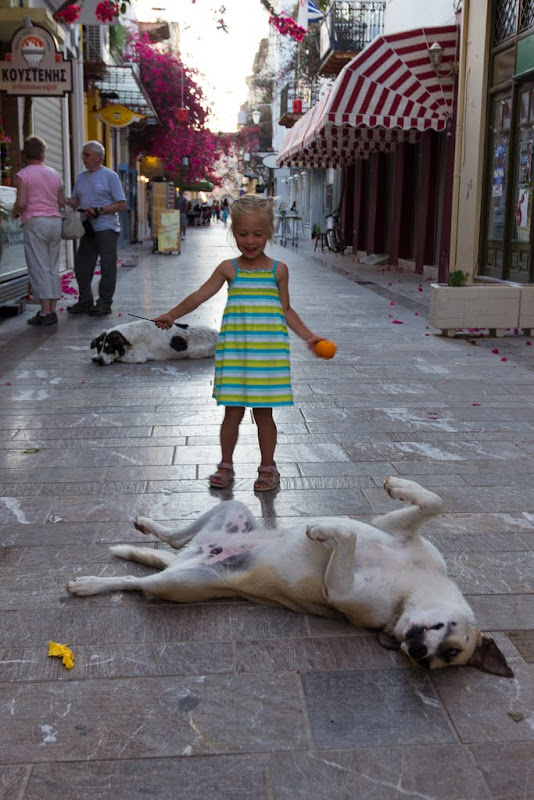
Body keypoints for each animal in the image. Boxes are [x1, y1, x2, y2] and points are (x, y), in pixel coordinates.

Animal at [91, 320, 219, 368]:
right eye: (98, 348)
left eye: (110, 348)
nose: (100, 360)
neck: (129, 335)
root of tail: (217, 333)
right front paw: (95, 357)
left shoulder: (137, 357)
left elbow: (118, 356)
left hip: (197, 353)